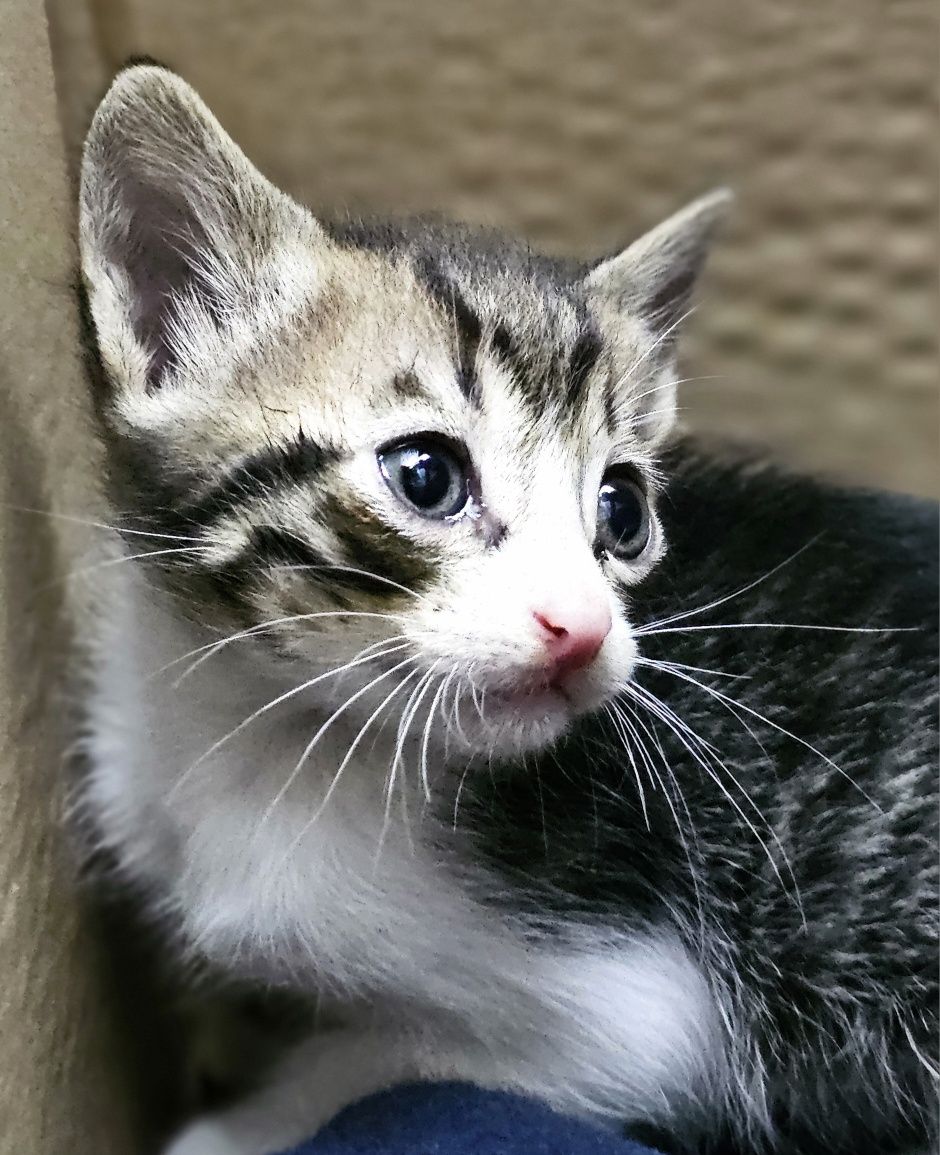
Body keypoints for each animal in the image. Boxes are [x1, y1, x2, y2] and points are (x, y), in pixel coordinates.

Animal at [77, 65, 937, 1155]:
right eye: (426, 476)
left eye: (621, 510)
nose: (585, 629)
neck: (273, 729)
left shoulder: (642, 1019)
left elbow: (377, 1059)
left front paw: (229, 1127)